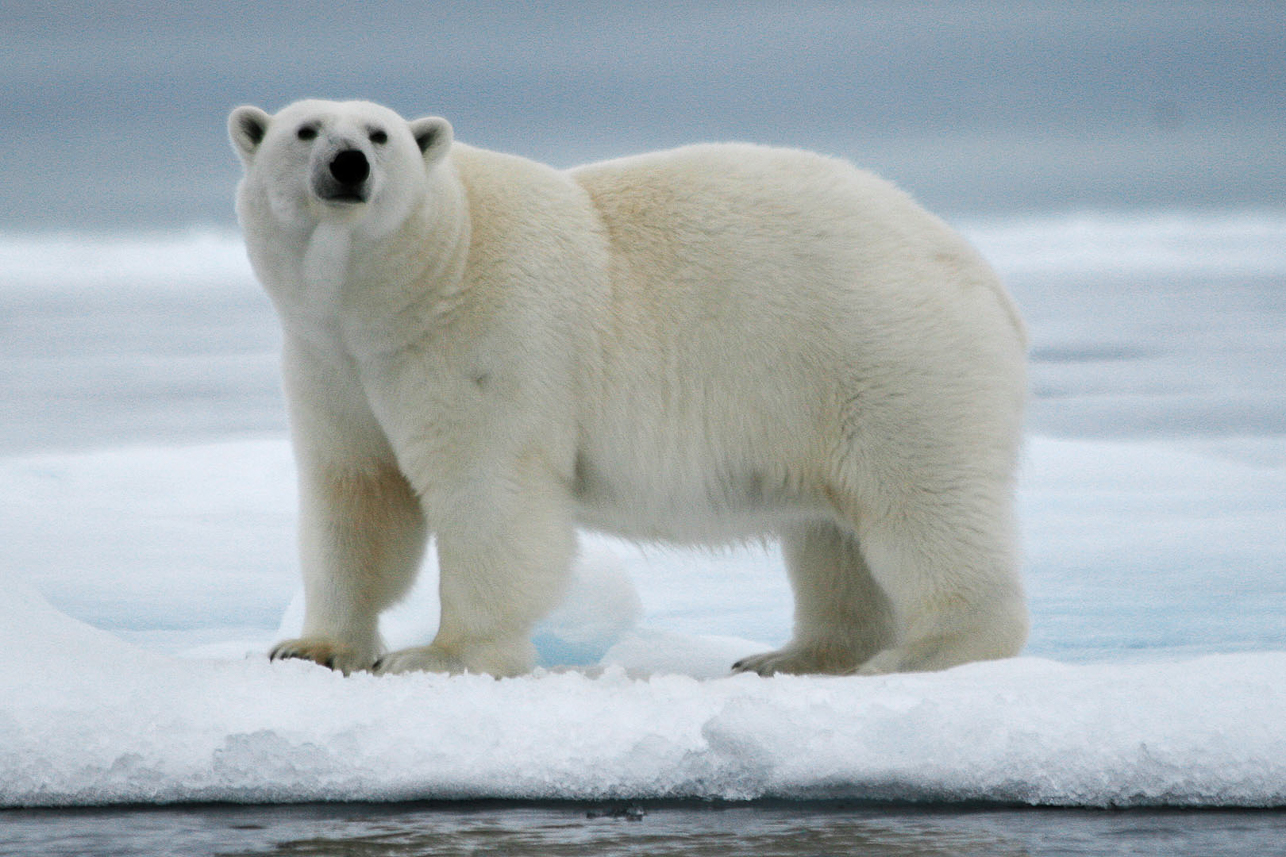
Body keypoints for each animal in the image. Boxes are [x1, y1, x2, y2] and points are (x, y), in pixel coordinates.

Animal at [231, 98, 1028, 674]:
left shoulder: (485, 340)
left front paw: (438, 655)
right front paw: (311, 646)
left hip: (890, 359)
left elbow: (488, 494)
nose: (348, 163)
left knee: (919, 505)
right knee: (832, 537)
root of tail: (983, 274)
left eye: (381, 133)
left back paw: (923, 652)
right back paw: (794, 656)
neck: (421, 280)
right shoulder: (330, 362)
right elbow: (357, 494)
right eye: (304, 129)